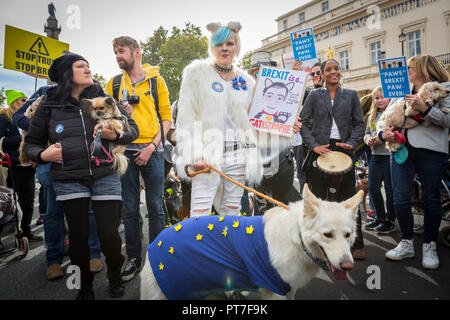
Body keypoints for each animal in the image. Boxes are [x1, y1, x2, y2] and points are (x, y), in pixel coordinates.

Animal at [139, 185, 364, 300]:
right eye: (327, 235)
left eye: (347, 235)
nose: (348, 266)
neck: (298, 239)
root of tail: (154, 243)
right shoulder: (275, 292)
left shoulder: (288, 289)